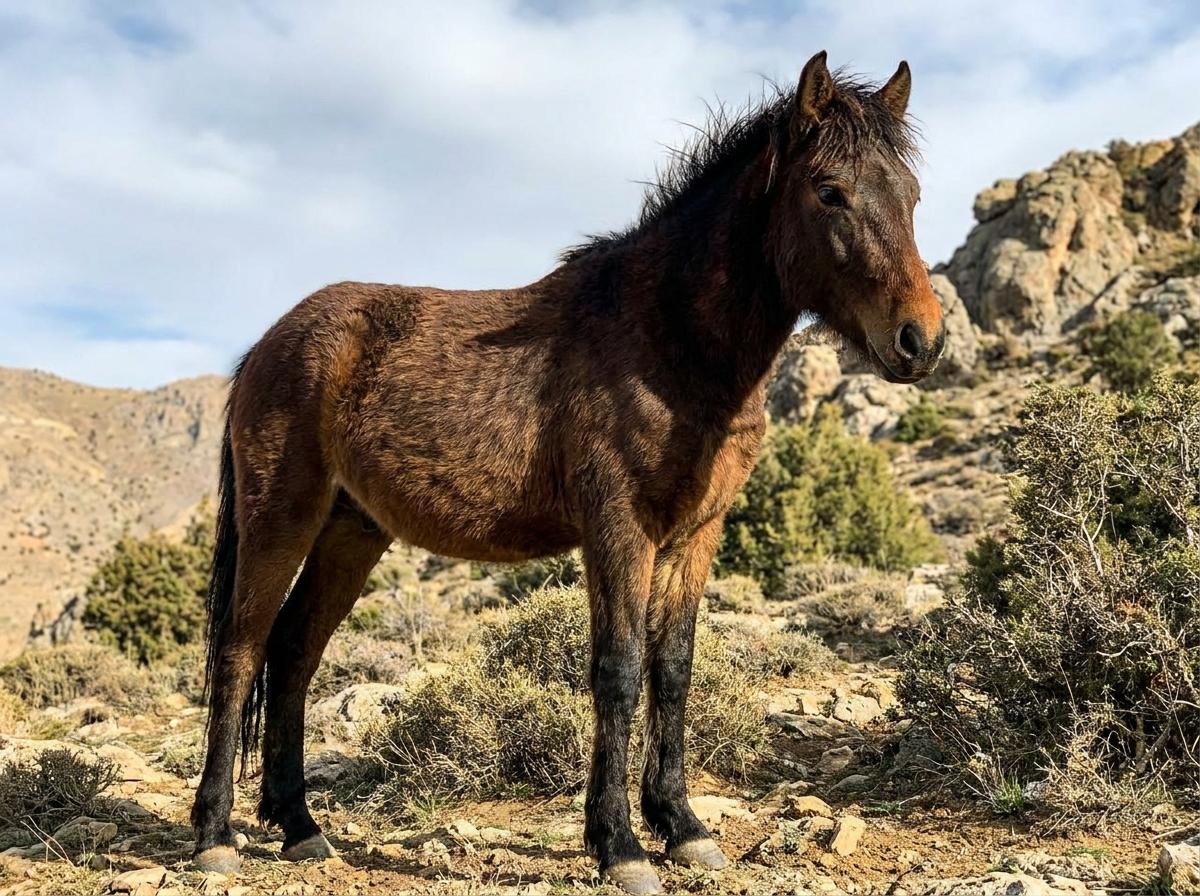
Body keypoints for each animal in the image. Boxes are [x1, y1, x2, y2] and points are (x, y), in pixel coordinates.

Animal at [190, 51, 945, 895]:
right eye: (830, 191)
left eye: (911, 193)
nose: (921, 339)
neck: (668, 340)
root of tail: (267, 344)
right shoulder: (617, 530)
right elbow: (617, 670)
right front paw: (620, 845)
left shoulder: (694, 536)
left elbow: (673, 669)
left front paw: (682, 827)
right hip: (281, 516)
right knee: (241, 648)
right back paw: (215, 835)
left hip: (352, 532)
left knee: (293, 652)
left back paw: (300, 827)